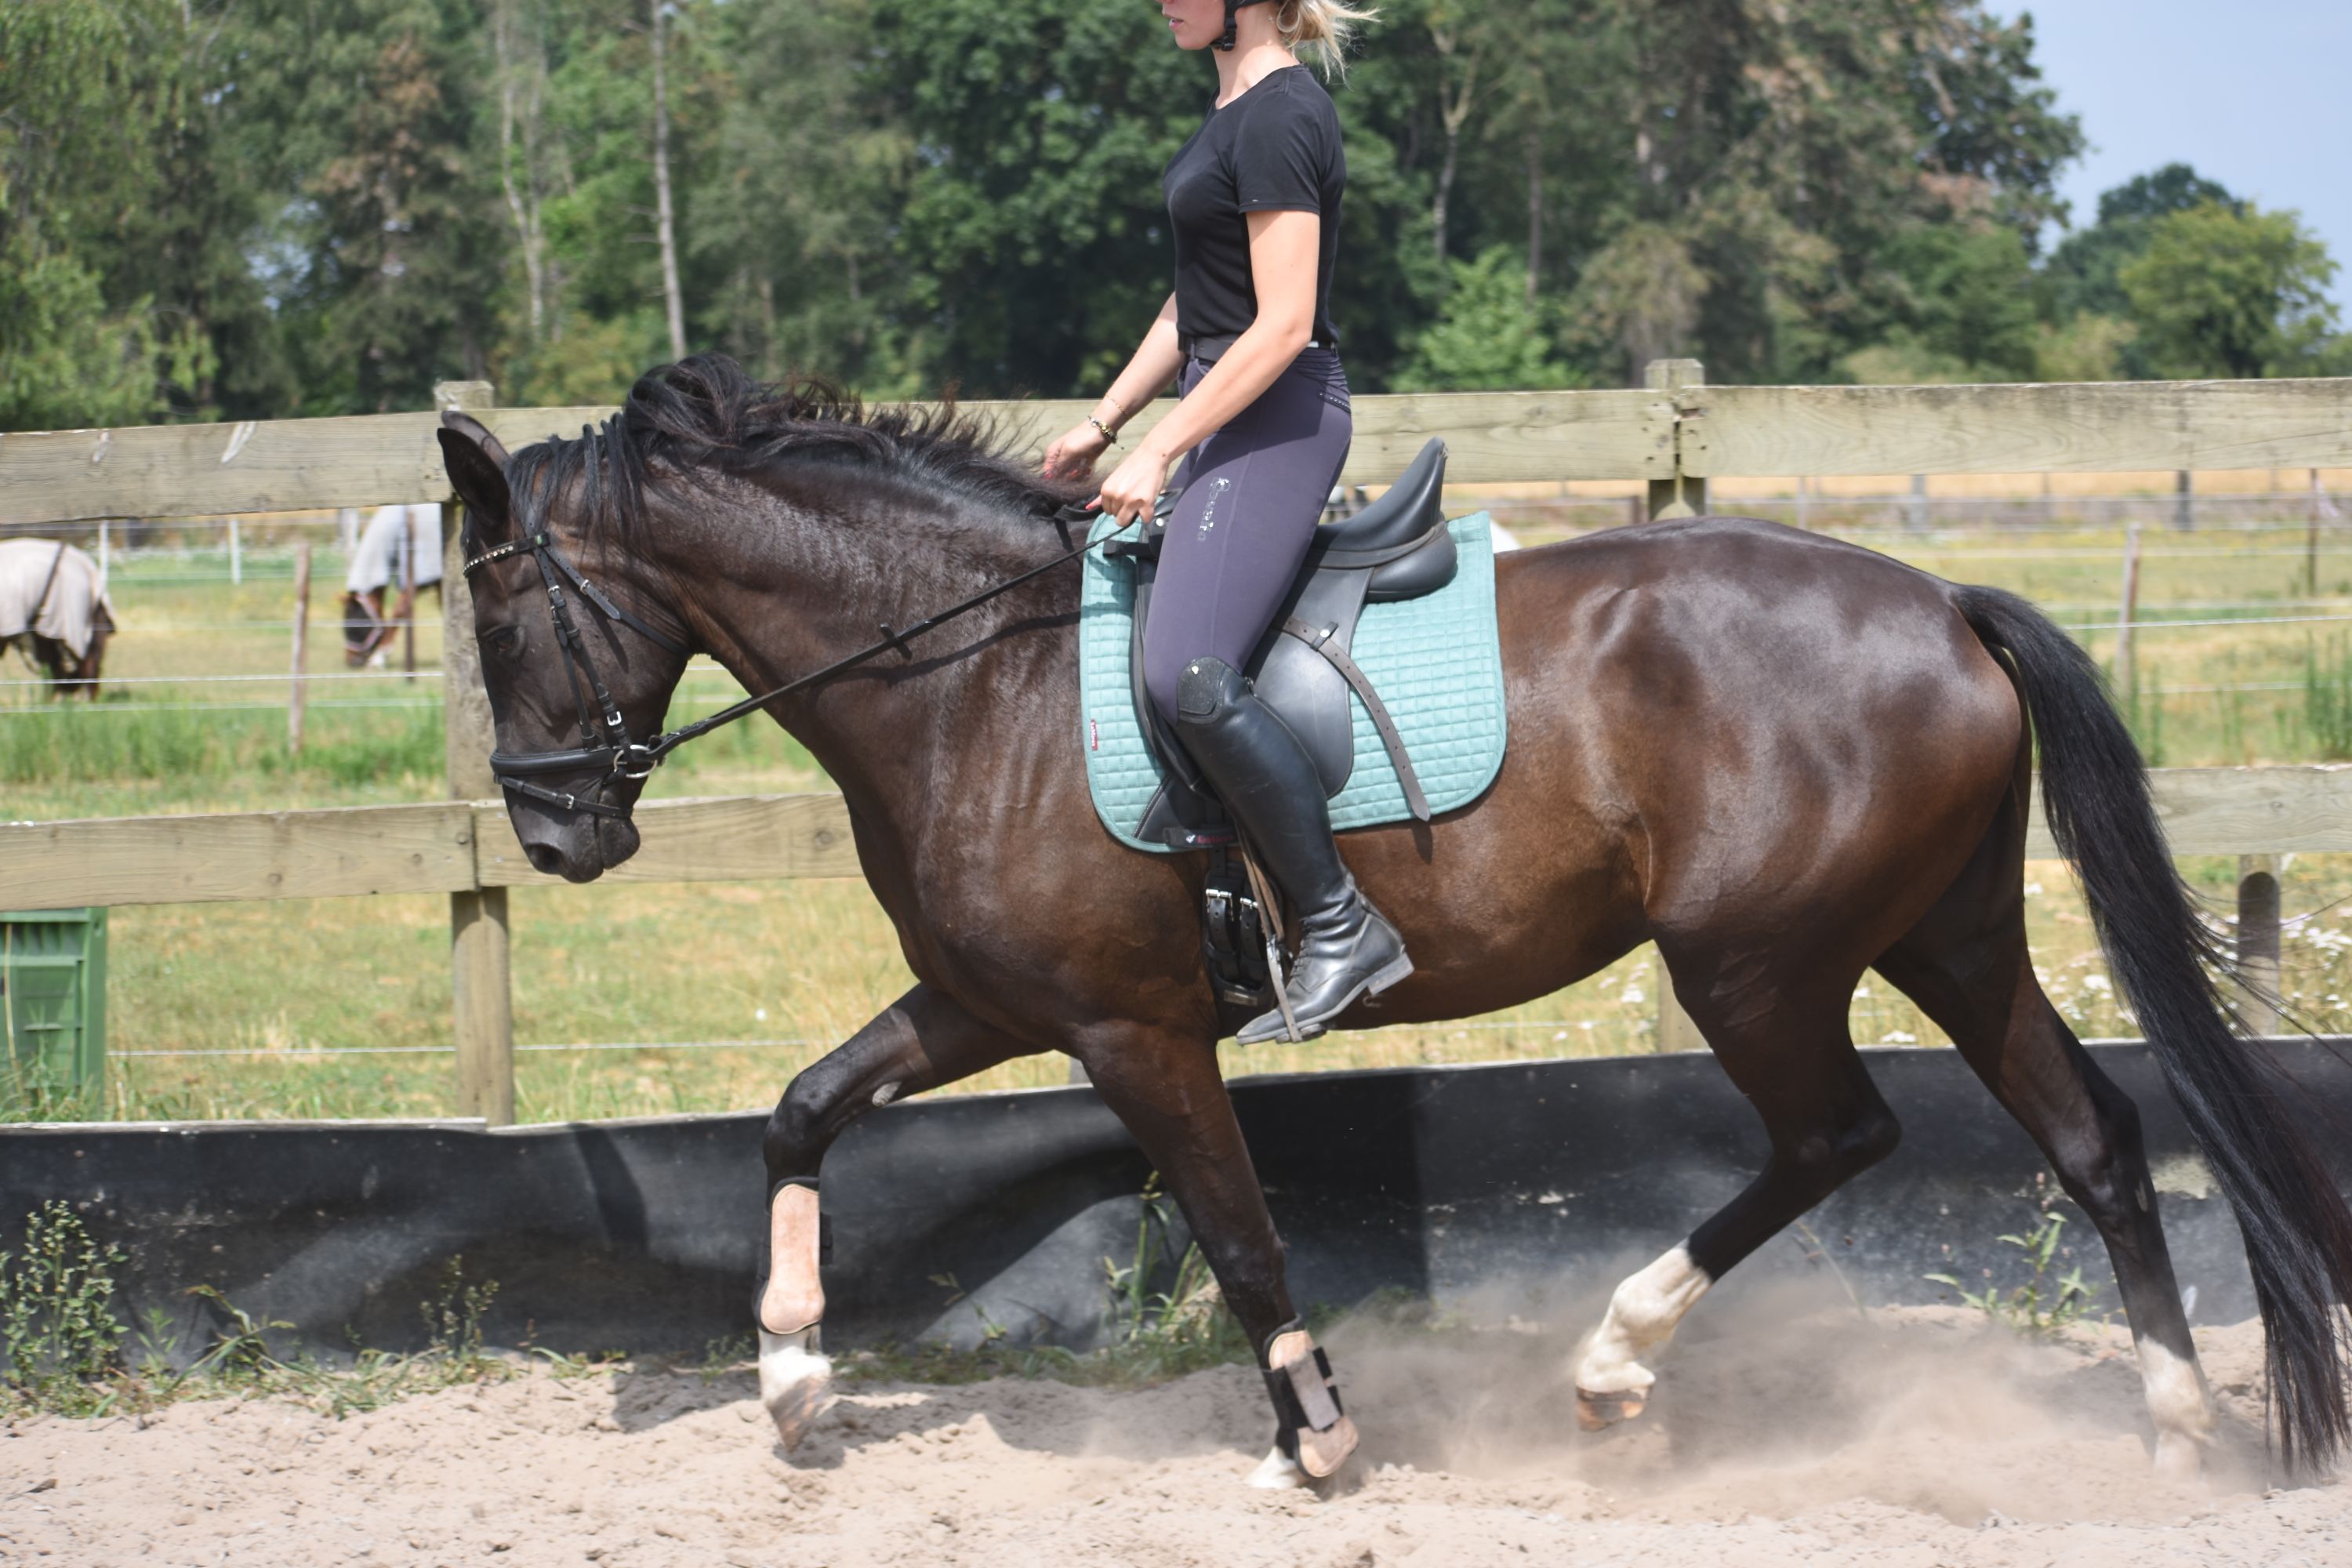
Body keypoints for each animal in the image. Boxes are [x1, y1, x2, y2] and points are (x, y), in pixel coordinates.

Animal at [436, 355, 2352, 1487]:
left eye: (507, 623)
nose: (548, 831)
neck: (967, 674)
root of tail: (1942, 604)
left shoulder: (1133, 1031)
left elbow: (1240, 1236)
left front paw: (1322, 1434)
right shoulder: (991, 1004)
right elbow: (801, 1110)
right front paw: (788, 1381)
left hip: (1757, 962)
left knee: (1839, 1134)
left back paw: (1614, 1363)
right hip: (1942, 938)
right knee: (2093, 1138)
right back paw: (2173, 1428)